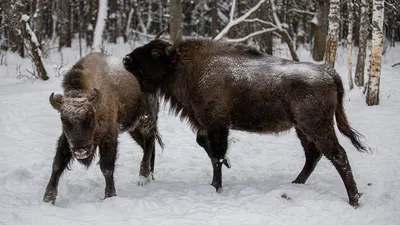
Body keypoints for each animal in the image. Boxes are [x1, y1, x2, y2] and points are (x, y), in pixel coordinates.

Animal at [43, 52, 162, 204]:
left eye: (90, 116)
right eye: (63, 119)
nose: (81, 150)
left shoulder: (109, 137)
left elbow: (106, 168)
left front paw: (110, 195)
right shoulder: (66, 139)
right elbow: (57, 164)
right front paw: (47, 199)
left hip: (146, 120)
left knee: (150, 142)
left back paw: (143, 176)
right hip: (133, 128)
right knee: (148, 146)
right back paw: (150, 176)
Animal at [122, 32, 368, 207]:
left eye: (155, 53)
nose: (126, 59)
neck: (185, 66)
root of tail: (328, 72)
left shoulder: (217, 125)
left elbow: (217, 155)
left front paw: (216, 186)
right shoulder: (206, 124)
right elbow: (205, 145)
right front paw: (225, 168)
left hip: (316, 125)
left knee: (337, 155)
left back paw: (354, 199)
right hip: (302, 128)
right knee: (313, 155)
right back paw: (296, 183)